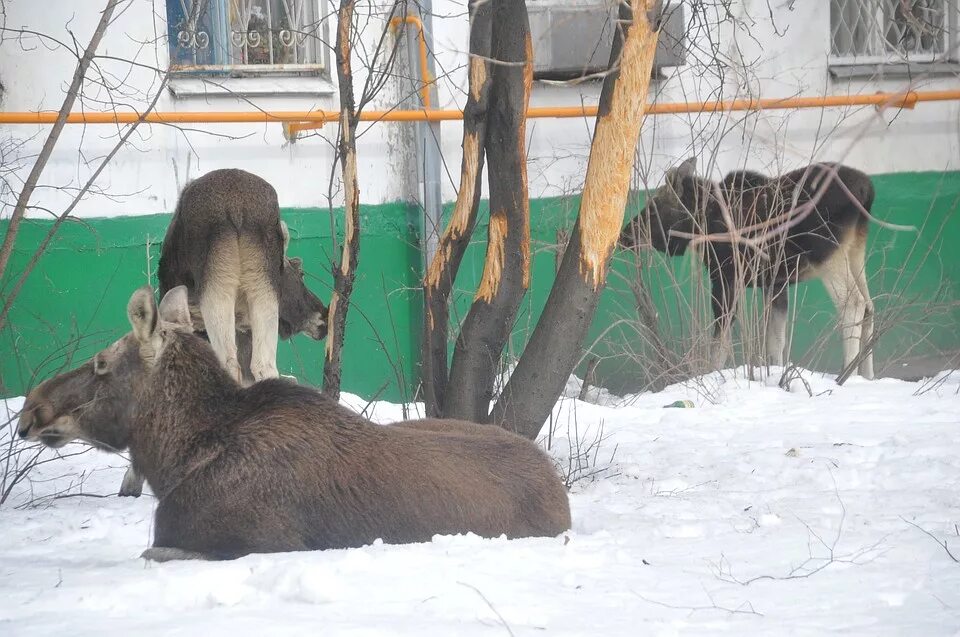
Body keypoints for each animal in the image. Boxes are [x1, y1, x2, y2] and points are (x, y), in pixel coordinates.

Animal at [620, 157, 872, 380]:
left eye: (652, 208)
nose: (625, 234)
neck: (702, 222)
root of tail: (866, 190)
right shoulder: (775, 283)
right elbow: (776, 343)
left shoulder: (726, 278)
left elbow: (720, 344)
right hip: (855, 252)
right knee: (870, 306)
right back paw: (866, 375)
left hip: (827, 255)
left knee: (853, 303)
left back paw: (847, 374)